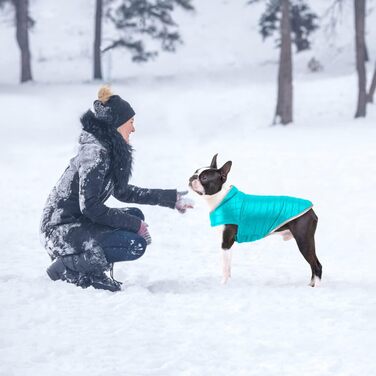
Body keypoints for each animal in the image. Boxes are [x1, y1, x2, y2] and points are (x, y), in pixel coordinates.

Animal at [189, 154, 322, 286]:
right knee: (313, 265)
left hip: (303, 240)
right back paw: (311, 285)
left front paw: (223, 284)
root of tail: (311, 210)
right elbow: (229, 264)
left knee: (317, 265)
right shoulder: (228, 244)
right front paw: (229, 282)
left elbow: (224, 266)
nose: (192, 178)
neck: (221, 198)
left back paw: (316, 287)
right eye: (195, 172)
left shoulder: (225, 242)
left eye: (204, 178)